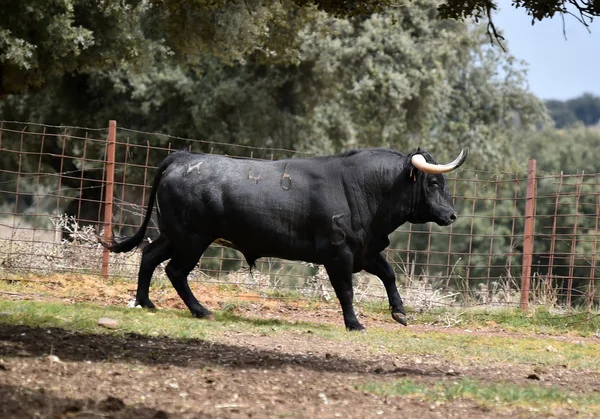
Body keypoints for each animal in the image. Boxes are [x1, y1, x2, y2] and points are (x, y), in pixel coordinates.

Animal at [102, 148, 468, 332]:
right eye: (434, 184)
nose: (452, 215)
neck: (364, 187)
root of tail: (182, 157)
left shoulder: (365, 250)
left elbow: (389, 275)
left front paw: (400, 312)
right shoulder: (338, 253)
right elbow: (346, 290)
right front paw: (354, 323)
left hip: (173, 235)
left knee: (149, 256)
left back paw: (145, 302)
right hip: (193, 239)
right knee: (175, 271)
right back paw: (200, 310)